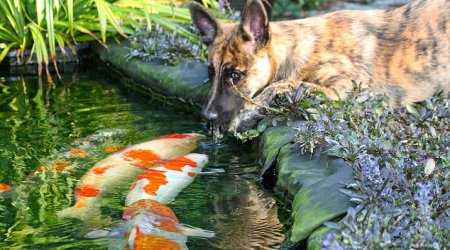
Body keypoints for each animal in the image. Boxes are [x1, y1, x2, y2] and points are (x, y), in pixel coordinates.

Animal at [189, 0, 450, 136]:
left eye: (235, 75)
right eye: (210, 73)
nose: (207, 117)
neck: (296, 49)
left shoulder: (343, 88)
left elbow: (286, 82)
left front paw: (247, 114)